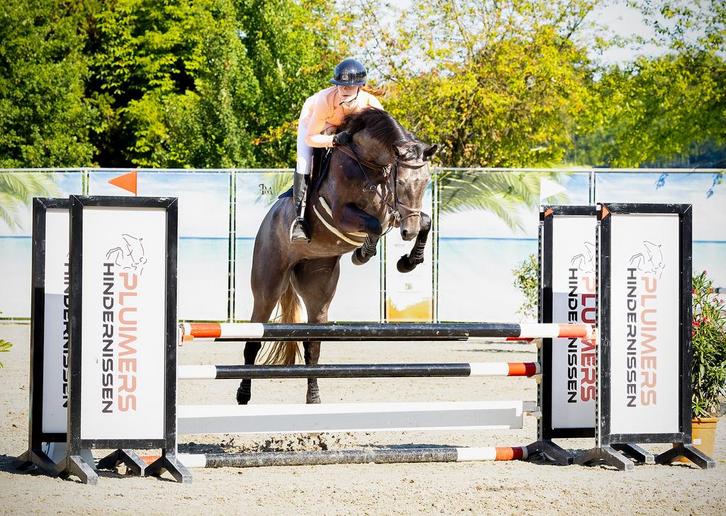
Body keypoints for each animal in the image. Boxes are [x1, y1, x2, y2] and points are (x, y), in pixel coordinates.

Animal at [237, 107, 438, 405]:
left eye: (425, 183)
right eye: (400, 181)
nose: (407, 232)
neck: (370, 165)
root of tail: (267, 221)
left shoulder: (394, 213)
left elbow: (426, 221)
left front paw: (409, 261)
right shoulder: (343, 215)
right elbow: (374, 225)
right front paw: (363, 253)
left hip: (318, 289)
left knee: (312, 346)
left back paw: (313, 397)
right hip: (268, 286)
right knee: (253, 340)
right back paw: (243, 395)